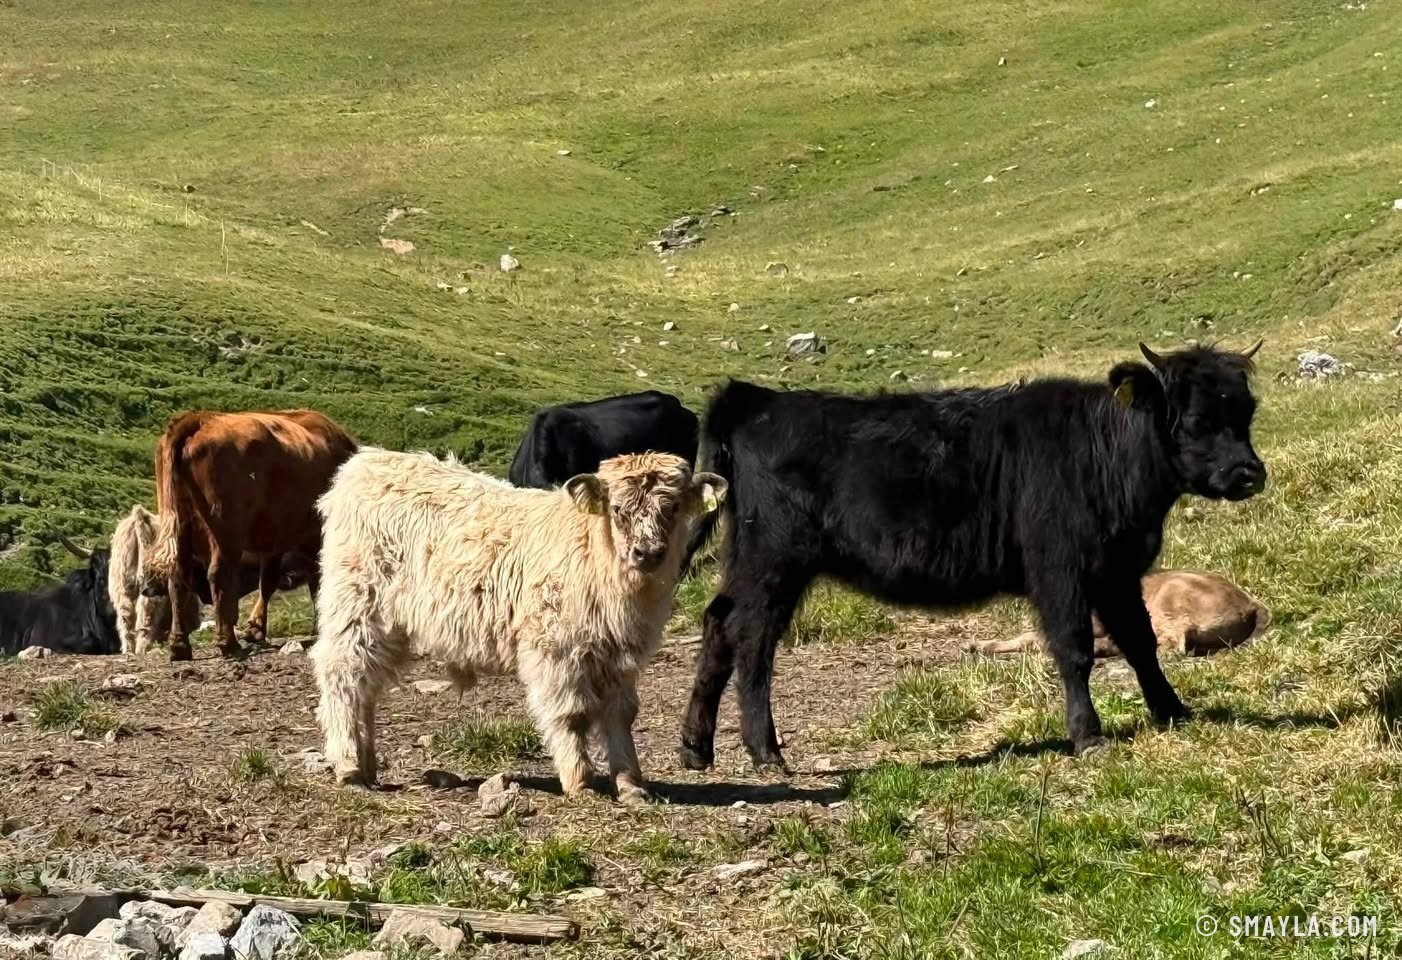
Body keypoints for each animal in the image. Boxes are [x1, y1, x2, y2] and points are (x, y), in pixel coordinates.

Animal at [141, 410, 357, 661]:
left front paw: (255, 629)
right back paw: (228, 643)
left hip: (180, 532)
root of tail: (200, 419)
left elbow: (269, 583)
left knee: (177, 580)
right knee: (219, 575)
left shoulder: (274, 544)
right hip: (226, 534)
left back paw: (180, 647)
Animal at [311, 448, 725, 800]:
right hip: (357, 608)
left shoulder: (622, 659)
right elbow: (571, 715)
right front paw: (580, 782)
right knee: (342, 676)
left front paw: (631, 785)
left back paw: (367, 765)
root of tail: (367, 461)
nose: (647, 552)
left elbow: (621, 715)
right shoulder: (556, 651)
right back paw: (349, 766)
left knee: (365, 687)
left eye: (672, 508)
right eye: (618, 508)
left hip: (387, 627)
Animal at [680, 341, 1266, 770]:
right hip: (775, 561)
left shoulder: (1116, 573)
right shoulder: (1060, 570)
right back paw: (765, 752)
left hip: (747, 562)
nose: (1249, 474)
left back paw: (695, 748)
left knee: (718, 625)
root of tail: (756, 399)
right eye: (1194, 419)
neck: (1104, 455)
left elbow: (1140, 642)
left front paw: (1173, 711)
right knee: (753, 641)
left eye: (1247, 412)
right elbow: (1074, 651)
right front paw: (1087, 735)